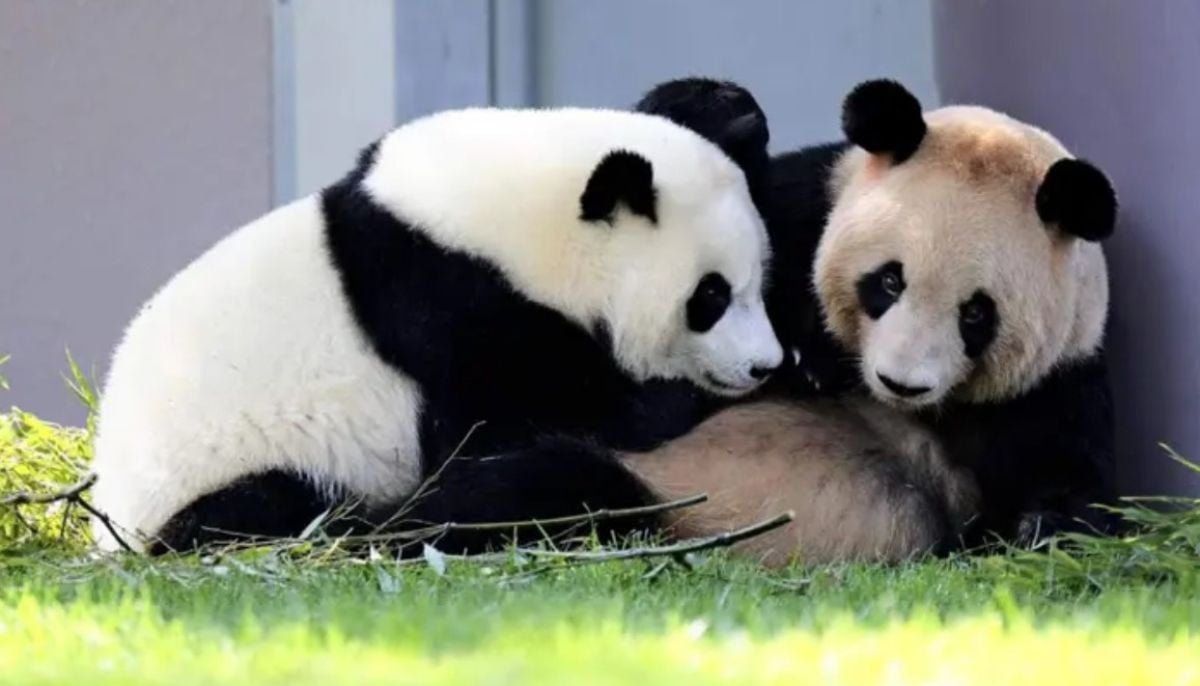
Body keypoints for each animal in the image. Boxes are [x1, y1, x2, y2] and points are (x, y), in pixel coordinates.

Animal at [89, 106, 785, 553]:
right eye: (711, 296)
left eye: (760, 279)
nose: (764, 366)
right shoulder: (452, 308)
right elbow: (511, 423)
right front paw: (671, 400)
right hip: (221, 474)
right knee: (269, 508)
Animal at [396, 78, 1118, 566]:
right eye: (888, 281)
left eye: (976, 313)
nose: (901, 383)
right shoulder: (796, 213)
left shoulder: (1060, 377)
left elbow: (1065, 478)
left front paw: (1041, 526)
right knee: (527, 487)